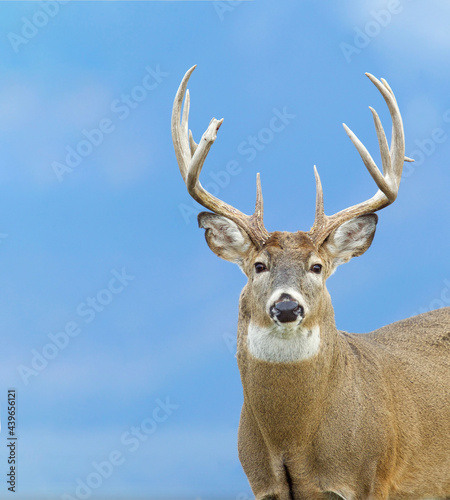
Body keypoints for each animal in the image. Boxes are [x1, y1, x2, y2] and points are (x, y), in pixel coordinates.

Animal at [171, 67, 450, 500]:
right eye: (258, 265)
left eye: (317, 266)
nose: (287, 306)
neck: (294, 443)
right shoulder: (263, 486)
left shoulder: (373, 478)